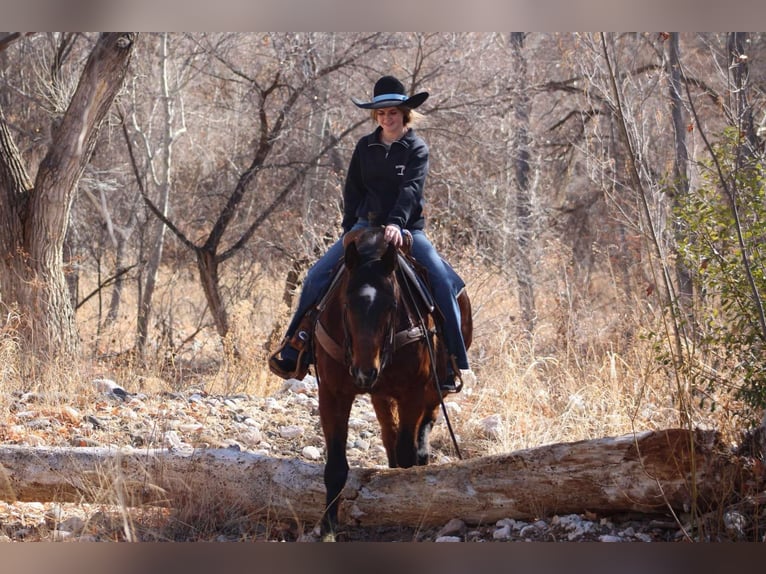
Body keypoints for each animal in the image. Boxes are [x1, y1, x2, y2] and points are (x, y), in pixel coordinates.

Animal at [314, 227, 474, 544]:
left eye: (391, 305)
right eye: (347, 302)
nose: (364, 372)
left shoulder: (413, 391)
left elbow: (407, 455)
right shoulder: (332, 393)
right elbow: (336, 465)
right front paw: (328, 528)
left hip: (435, 385)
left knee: (424, 425)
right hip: (381, 395)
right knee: (389, 435)